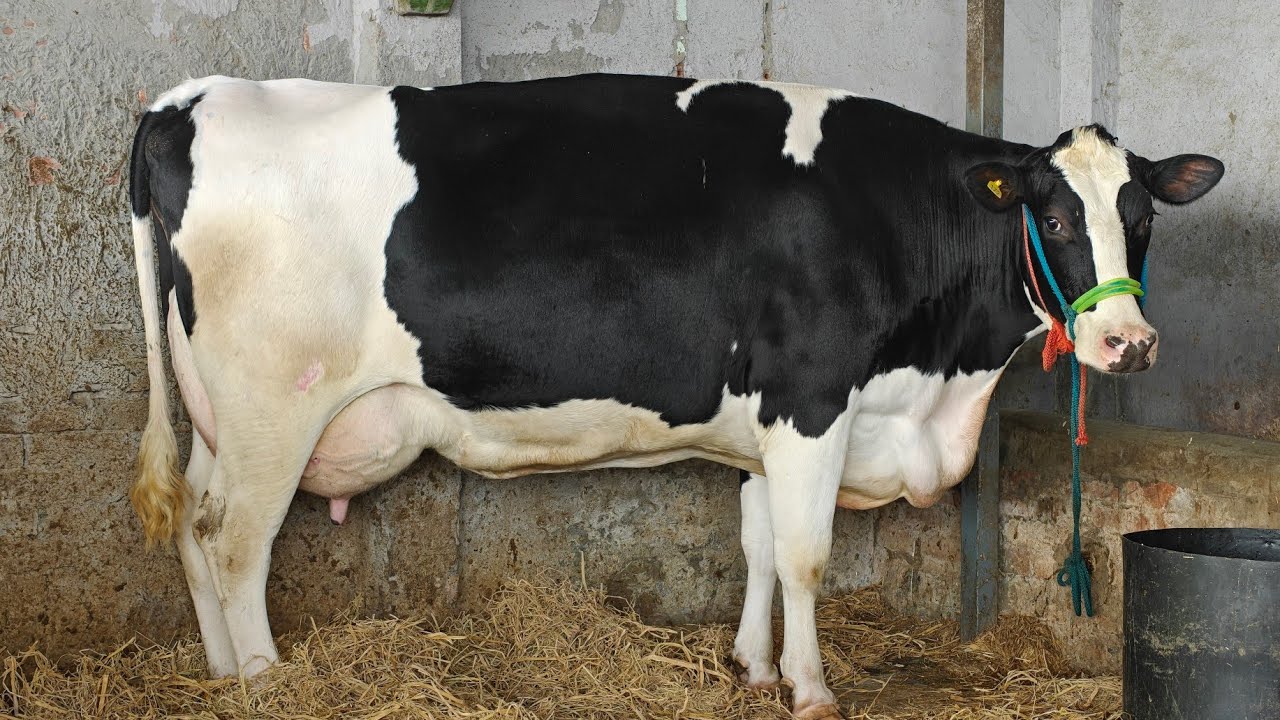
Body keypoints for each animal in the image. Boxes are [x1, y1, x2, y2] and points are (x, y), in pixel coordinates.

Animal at [127, 73, 1222, 719]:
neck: (933, 385)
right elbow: (806, 555)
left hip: (219, 418)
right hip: (275, 407)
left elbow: (758, 546)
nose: (1129, 343)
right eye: (1054, 215)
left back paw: (219, 676)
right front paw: (812, 688)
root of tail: (192, 97)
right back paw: (265, 684)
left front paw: (753, 668)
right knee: (234, 541)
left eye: (1142, 217)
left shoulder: (766, 424)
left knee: (193, 529)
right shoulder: (811, 401)